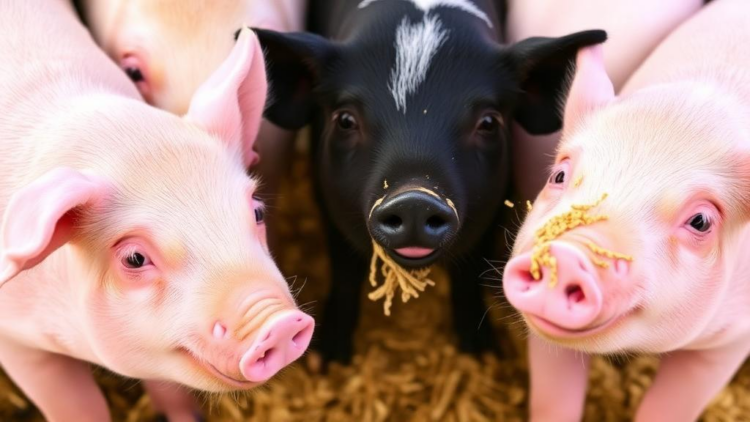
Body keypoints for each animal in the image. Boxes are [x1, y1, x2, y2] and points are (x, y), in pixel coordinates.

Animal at [254, 0, 606, 363]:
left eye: (489, 122)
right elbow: (345, 271)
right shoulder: (326, 196)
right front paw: (329, 361)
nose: (415, 201)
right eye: (345, 120)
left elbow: (468, 274)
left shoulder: (494, 204)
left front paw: (482, 354)